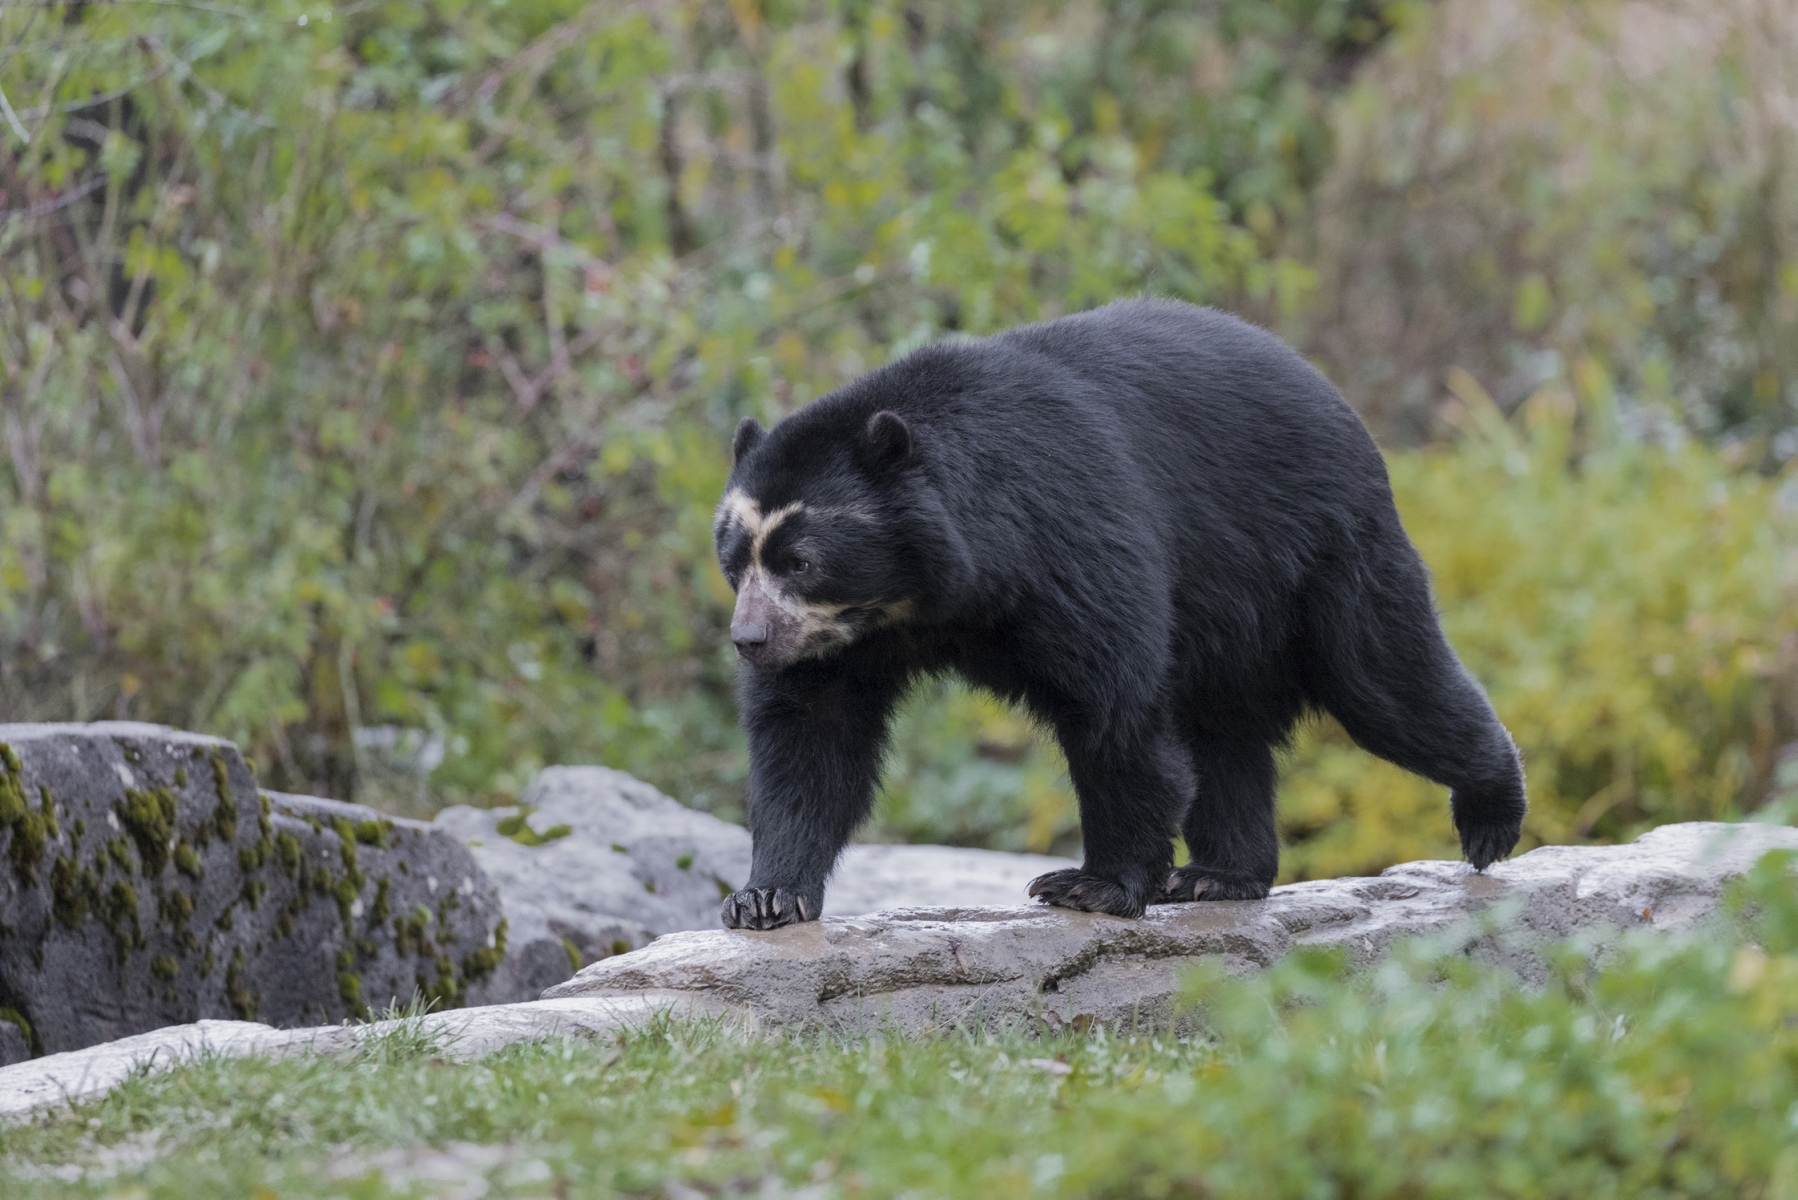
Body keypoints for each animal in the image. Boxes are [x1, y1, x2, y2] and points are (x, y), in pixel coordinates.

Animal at [708, 298, 1524, 928]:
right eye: (735, 559)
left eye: (800, 560)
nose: (750, 640)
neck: (917, 597)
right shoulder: (840, 642)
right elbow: (811, 733)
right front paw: (766, 898)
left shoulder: (1068, 538)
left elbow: (1114, 708)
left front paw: (1091, 886)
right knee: (1225, 733)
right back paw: (1220, 874)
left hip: (1321, 554)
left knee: (1386, 685)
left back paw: (1490, 819)